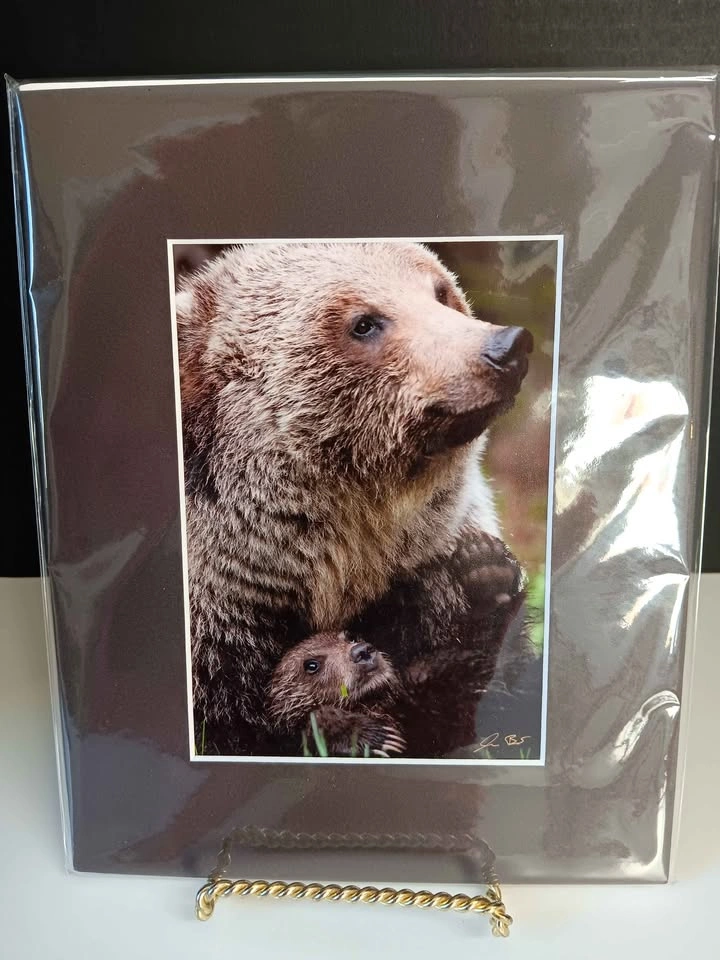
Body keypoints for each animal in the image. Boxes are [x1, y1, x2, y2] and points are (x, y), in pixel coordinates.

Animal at [175, 241, 532, 757]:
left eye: (441, 292)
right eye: (364, 323)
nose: (506, 346)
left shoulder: (427, 561)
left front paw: (486, 574)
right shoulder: (221, 628)